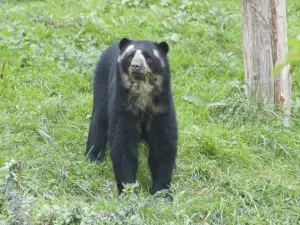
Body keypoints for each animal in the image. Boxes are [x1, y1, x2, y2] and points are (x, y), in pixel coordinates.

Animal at [85, 38, 177, 197]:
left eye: (148, 57)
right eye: (130, 56)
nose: (135, 66)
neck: (143, 95)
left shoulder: (161, 109)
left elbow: (163, 146)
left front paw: (161, 193)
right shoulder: (124, 109)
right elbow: (123, 145)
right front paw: (128, 191)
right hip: (102, 82)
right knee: (100, 120)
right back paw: (93, 157)